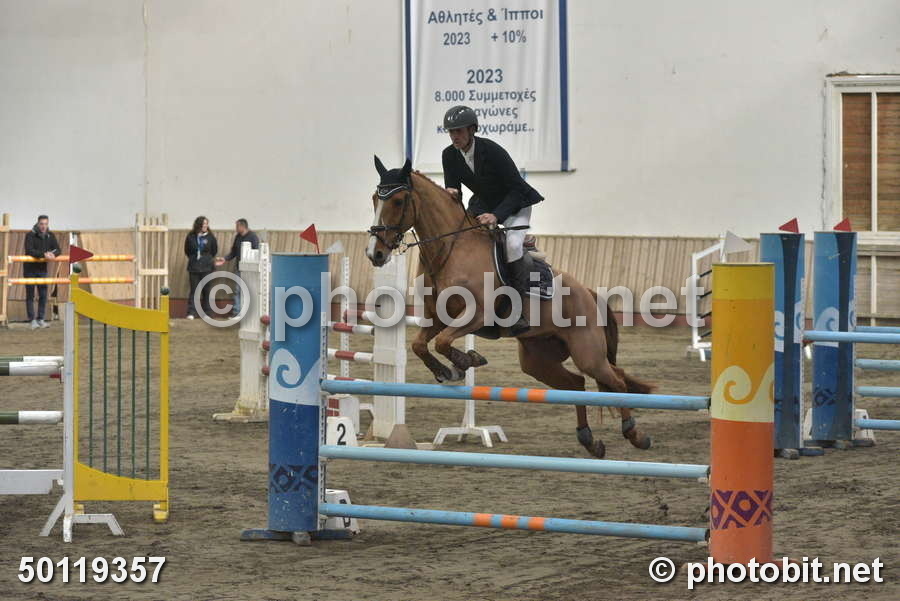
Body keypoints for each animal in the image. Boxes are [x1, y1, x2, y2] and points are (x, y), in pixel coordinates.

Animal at [365, 156, 653, 458]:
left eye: (398, 201)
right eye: (375, 199)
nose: (375, 254)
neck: (450, 249)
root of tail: (588, 293)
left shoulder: (477, 314)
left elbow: (443, 342)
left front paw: (467, 361)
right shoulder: (437, 318)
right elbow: (420, 345)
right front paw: (447, 371)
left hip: (587, 353)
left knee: (616, 381)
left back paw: (636, 435)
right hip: (537, 360)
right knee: (577, 384)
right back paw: (590, 441)